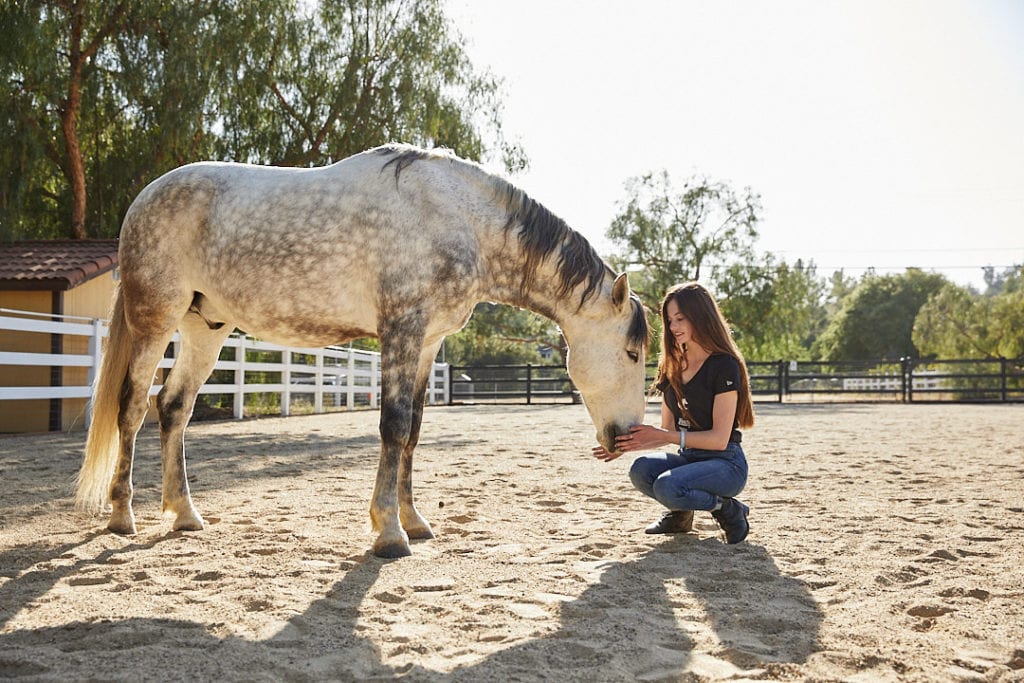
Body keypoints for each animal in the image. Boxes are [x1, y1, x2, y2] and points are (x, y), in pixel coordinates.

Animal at [77, 143, 647, 557]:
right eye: (633, 353)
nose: (624, 436)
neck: (460, 219)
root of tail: (144, 199)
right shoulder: (401, 329)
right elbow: (393, 426)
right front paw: (389, 532)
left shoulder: (427, 342)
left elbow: (412, 430)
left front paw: (414, 522)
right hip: (155, 320)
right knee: (132, 407)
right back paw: (123, 516)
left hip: (206, 326)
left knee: (173, 407)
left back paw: (185, 514)